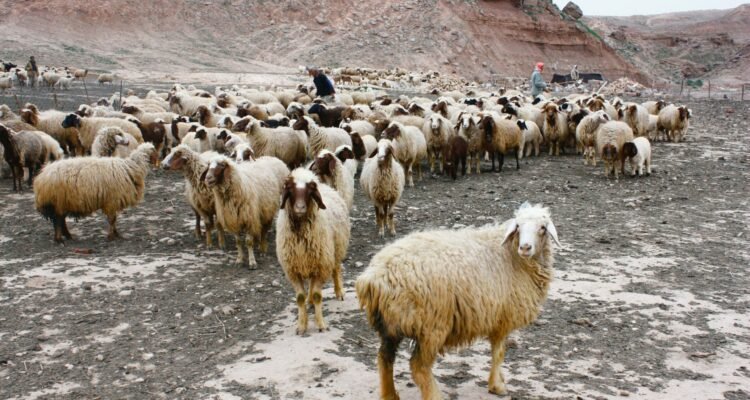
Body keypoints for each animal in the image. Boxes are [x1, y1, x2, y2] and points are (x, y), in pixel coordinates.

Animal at [276, 168, 351, 334]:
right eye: (290, 189)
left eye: (310, 191)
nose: (300, 208)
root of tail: (327, 187)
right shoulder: (293, 270)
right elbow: (300, 298)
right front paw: (301, 326)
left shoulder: (322, 266)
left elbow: (317, 296)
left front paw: (321, 324)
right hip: (311, 260)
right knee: (310, 282)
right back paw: (309, 300)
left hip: (335, 249)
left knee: (336, 269)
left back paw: (339, 292)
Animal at [356, 202, 560, 400]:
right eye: (518, 226)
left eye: (542, 227)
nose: (525, 247)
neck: (513, 257)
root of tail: (374, 277)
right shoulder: (503, 318)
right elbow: (499, 353)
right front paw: (497, 386)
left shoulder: (497, 317)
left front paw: (499, 380)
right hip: (432, 326)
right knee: (418, 366)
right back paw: (434, 396)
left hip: (390, 325)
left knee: (385, 358)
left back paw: (389, 395)